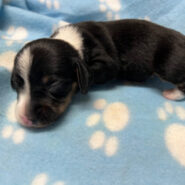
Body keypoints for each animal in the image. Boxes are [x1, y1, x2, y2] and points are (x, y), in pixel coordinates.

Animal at [10, 19, 185, 128]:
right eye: (17, 83)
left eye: (54, 84)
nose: (24, 118)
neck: (71, 43)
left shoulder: (108, 64)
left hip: (168, 63)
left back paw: (172, 94)